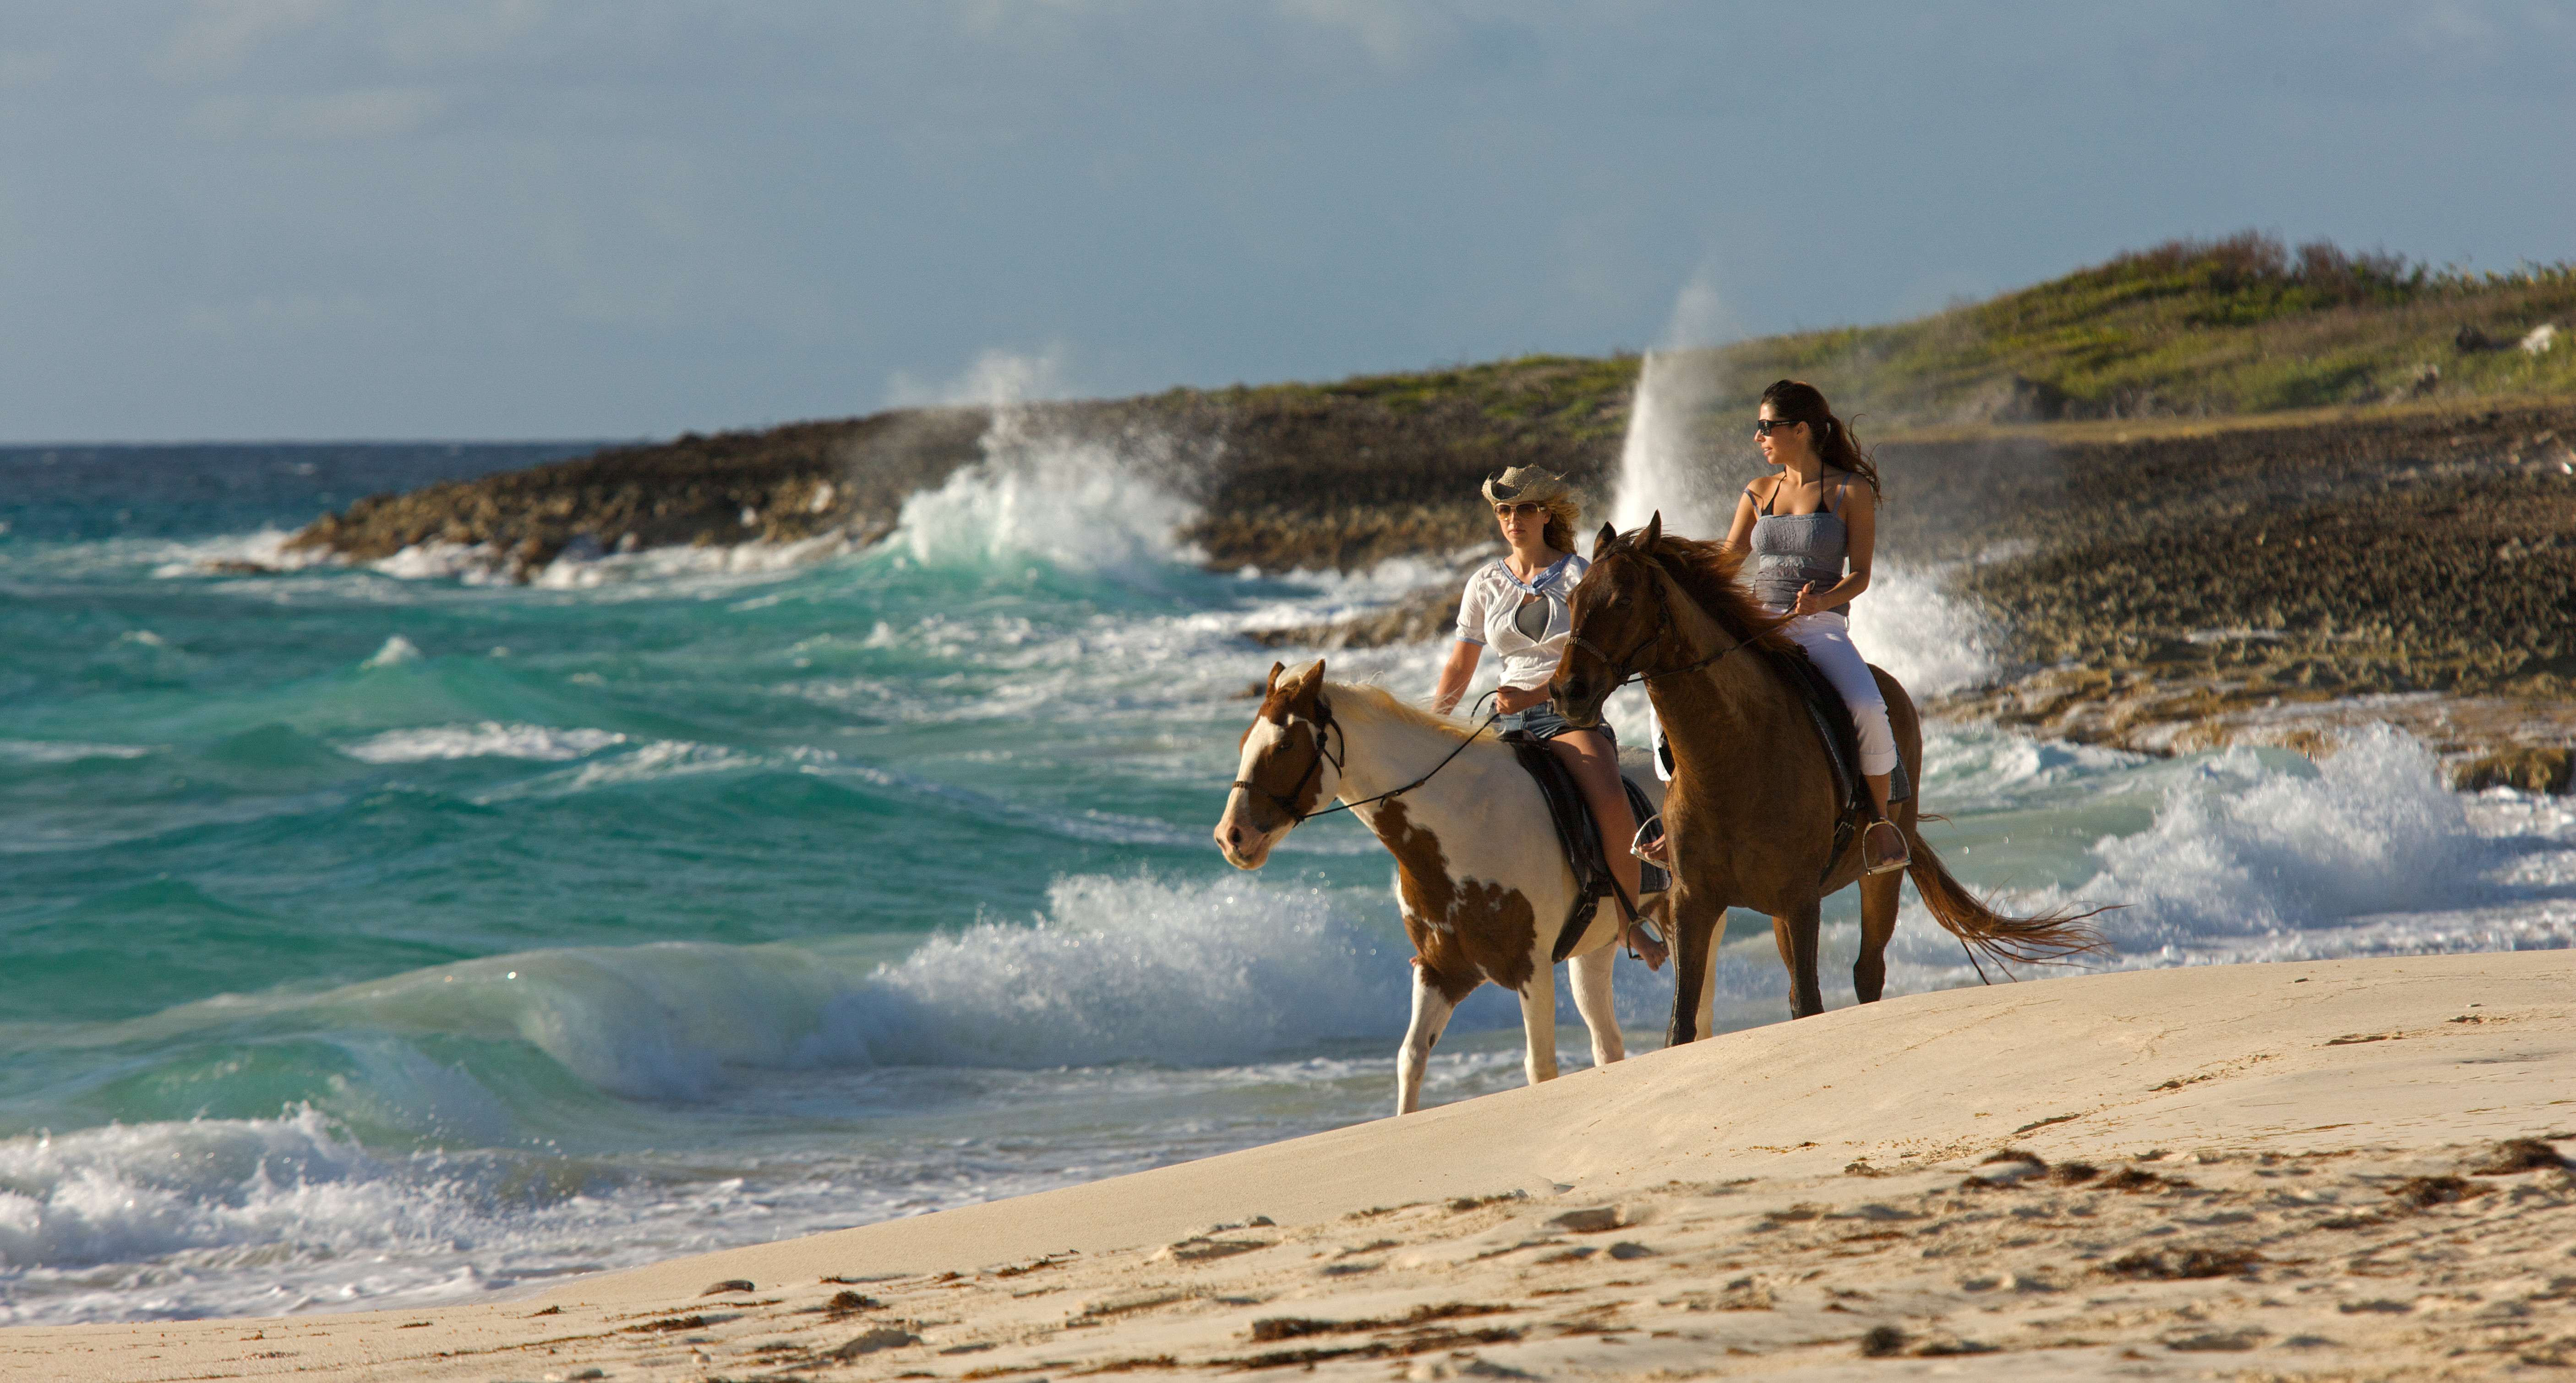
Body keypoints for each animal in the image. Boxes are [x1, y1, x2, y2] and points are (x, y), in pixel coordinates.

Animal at [1206, 657, 1648, 1112]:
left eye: (1285, 746)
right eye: (1244, 743)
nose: (1231, 837)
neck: (1467, 823)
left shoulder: (1533, 968)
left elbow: (1540, 1067)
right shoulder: (1439, 972)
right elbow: (1411, 1058)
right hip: (1594, 952)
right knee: (1607, 1043)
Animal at [1535, 512, 2102, 1040]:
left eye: (1623, 600)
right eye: (1573, 599)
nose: (1566, 691)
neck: (1729, 757)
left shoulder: (1800, 899)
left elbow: (1808, 1002)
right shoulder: (1693, 902)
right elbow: (1682, 1024)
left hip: (1878, 878)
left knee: (1866, 971)